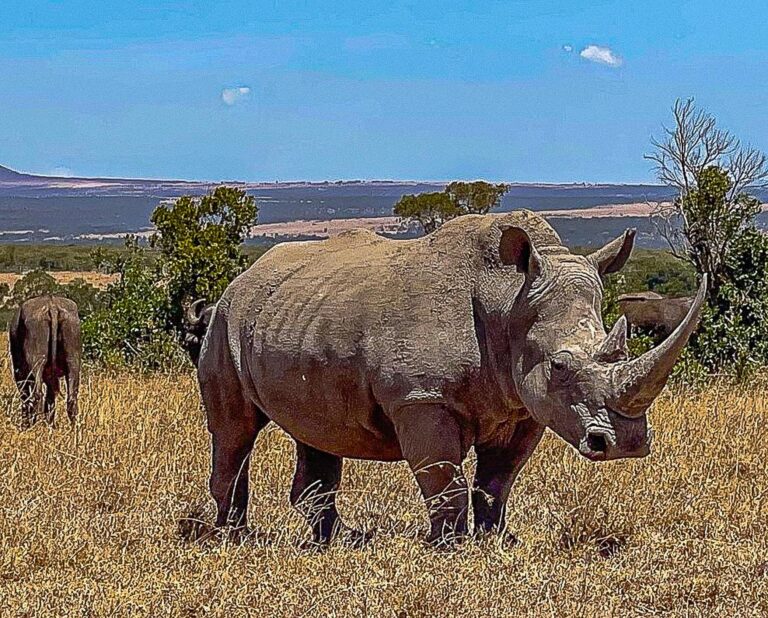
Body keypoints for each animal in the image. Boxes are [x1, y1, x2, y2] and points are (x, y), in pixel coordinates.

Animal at [9, 295, 82, 427]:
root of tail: (52, 305)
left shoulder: (19, 372)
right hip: (73, 355)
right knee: (71, 397)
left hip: (36, 359)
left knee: (35, 395)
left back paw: (32, 425)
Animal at [197, 211, 705, 547]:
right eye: (560, 366)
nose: (627, 444)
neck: (508, 301)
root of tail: (243, 276)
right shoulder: (421, 398)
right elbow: (445, 479)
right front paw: (449, 547)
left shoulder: (524, 407)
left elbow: (497, 481)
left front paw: (497, 541)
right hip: (224, 322)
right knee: (235, 430)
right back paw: (233, 538)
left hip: (303, 318)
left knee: (317, 430)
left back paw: (341, 541)